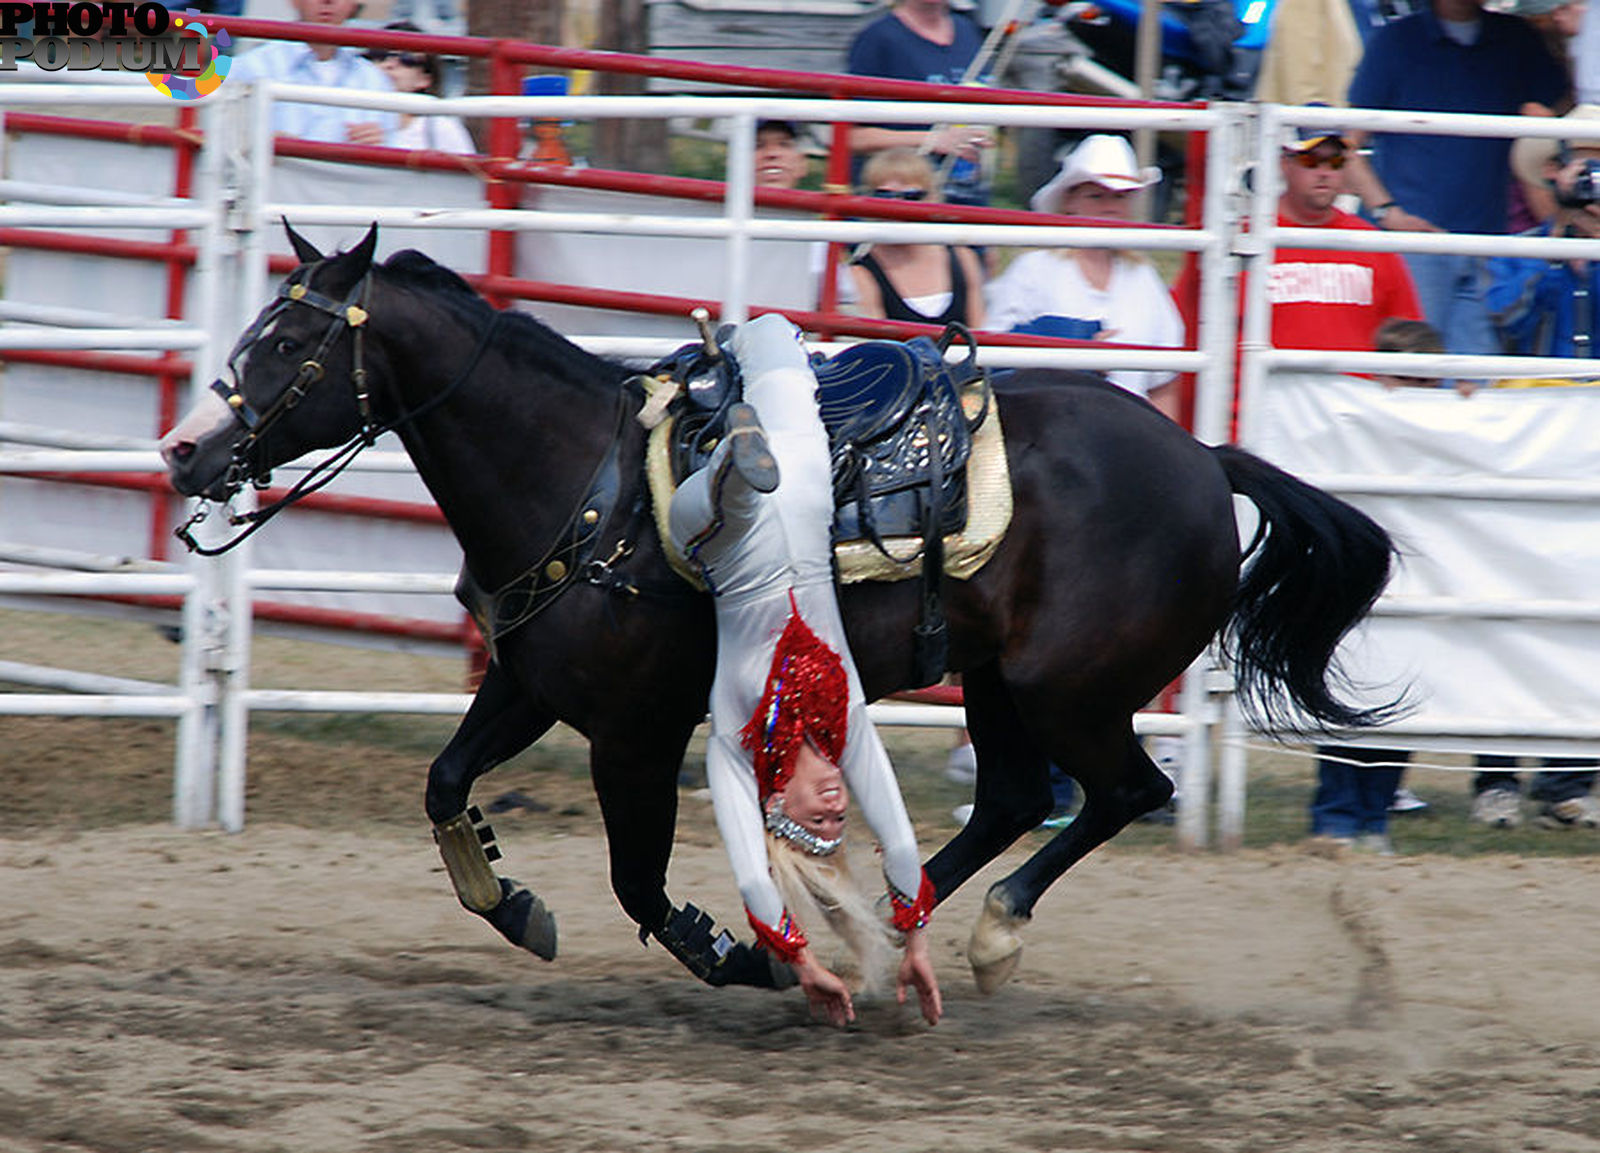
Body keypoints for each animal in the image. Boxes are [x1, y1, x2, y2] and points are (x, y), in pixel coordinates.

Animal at [162, 228, 1401, 991]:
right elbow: (446, 782)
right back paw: (890, 928)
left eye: (288, 343)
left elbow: (638, 879)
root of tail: (1202, 457)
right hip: (997, 679)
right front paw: (512, 903)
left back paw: (980, 934)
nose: (184, 451)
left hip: (1071, 691)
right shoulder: (527, 683)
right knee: (1011, 796)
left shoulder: (634, 731)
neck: (584, 479)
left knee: (1124, 792)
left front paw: (740, 953)